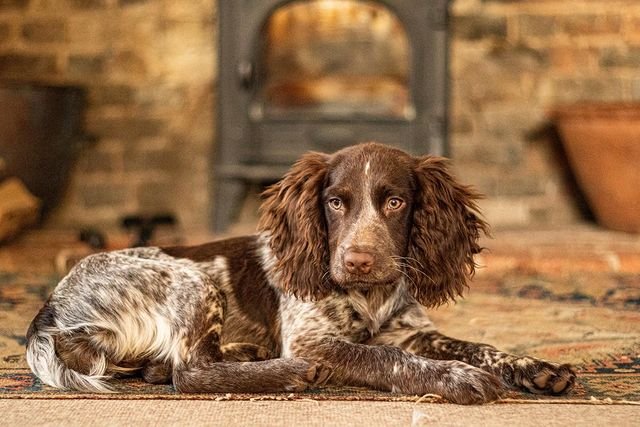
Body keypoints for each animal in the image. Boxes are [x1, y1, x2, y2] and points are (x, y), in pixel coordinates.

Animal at [26, 143, 576, 404]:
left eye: (395, 202)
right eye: (335, 203)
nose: (357, 260)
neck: (369, 296)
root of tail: (49, 311)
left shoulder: (413, 332)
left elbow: (478, 345)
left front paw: (536, 367)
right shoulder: (313, 338)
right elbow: (382, 357)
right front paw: (458, 378)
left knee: (172, 365)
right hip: (190, 280)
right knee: (190, 372)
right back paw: (290, 373)